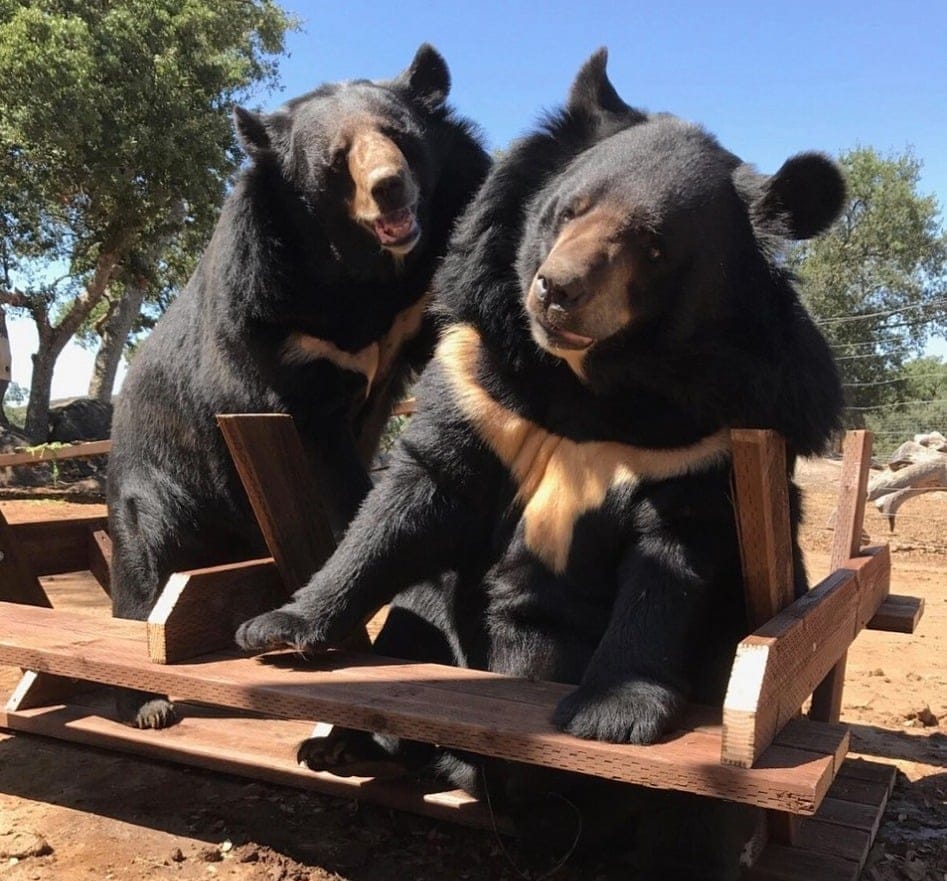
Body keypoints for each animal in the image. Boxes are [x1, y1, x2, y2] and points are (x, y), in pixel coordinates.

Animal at [107, 44, 490, 730]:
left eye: (400, 136)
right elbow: (325, 466)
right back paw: (149, 704)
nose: (390, 187)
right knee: (147, 564)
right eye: (336, 160)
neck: (359, 270)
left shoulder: (416, 297)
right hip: (154, 489)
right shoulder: (272, 327)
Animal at [236, 50, 845, 879]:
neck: (591, 384)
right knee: (414, 620)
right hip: (434, 628)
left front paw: (608, 715)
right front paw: (277, 625)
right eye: (565, 210)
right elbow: (412, 502)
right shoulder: (483, 381)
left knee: (693, 821)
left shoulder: (715, 433)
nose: (556, 291)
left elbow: (671, 568)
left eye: (652, 244)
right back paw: (347, 749)